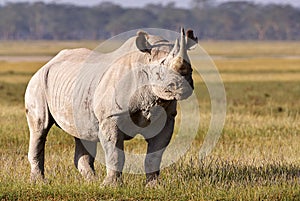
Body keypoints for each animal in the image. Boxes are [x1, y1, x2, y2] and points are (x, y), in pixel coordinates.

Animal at [25, 27, 197, 186]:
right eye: (160, 68)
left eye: (191, 68)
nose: (183, 86)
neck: (144, 61)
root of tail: (48, 63)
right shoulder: (111, 116)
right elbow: (115, 153)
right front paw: (111, 186)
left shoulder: (166, 118)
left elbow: (155, 155)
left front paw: (154, 186)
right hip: (38, 83)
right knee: (40, 128)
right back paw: (39, 182)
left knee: (82, 133)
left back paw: (91, 182)